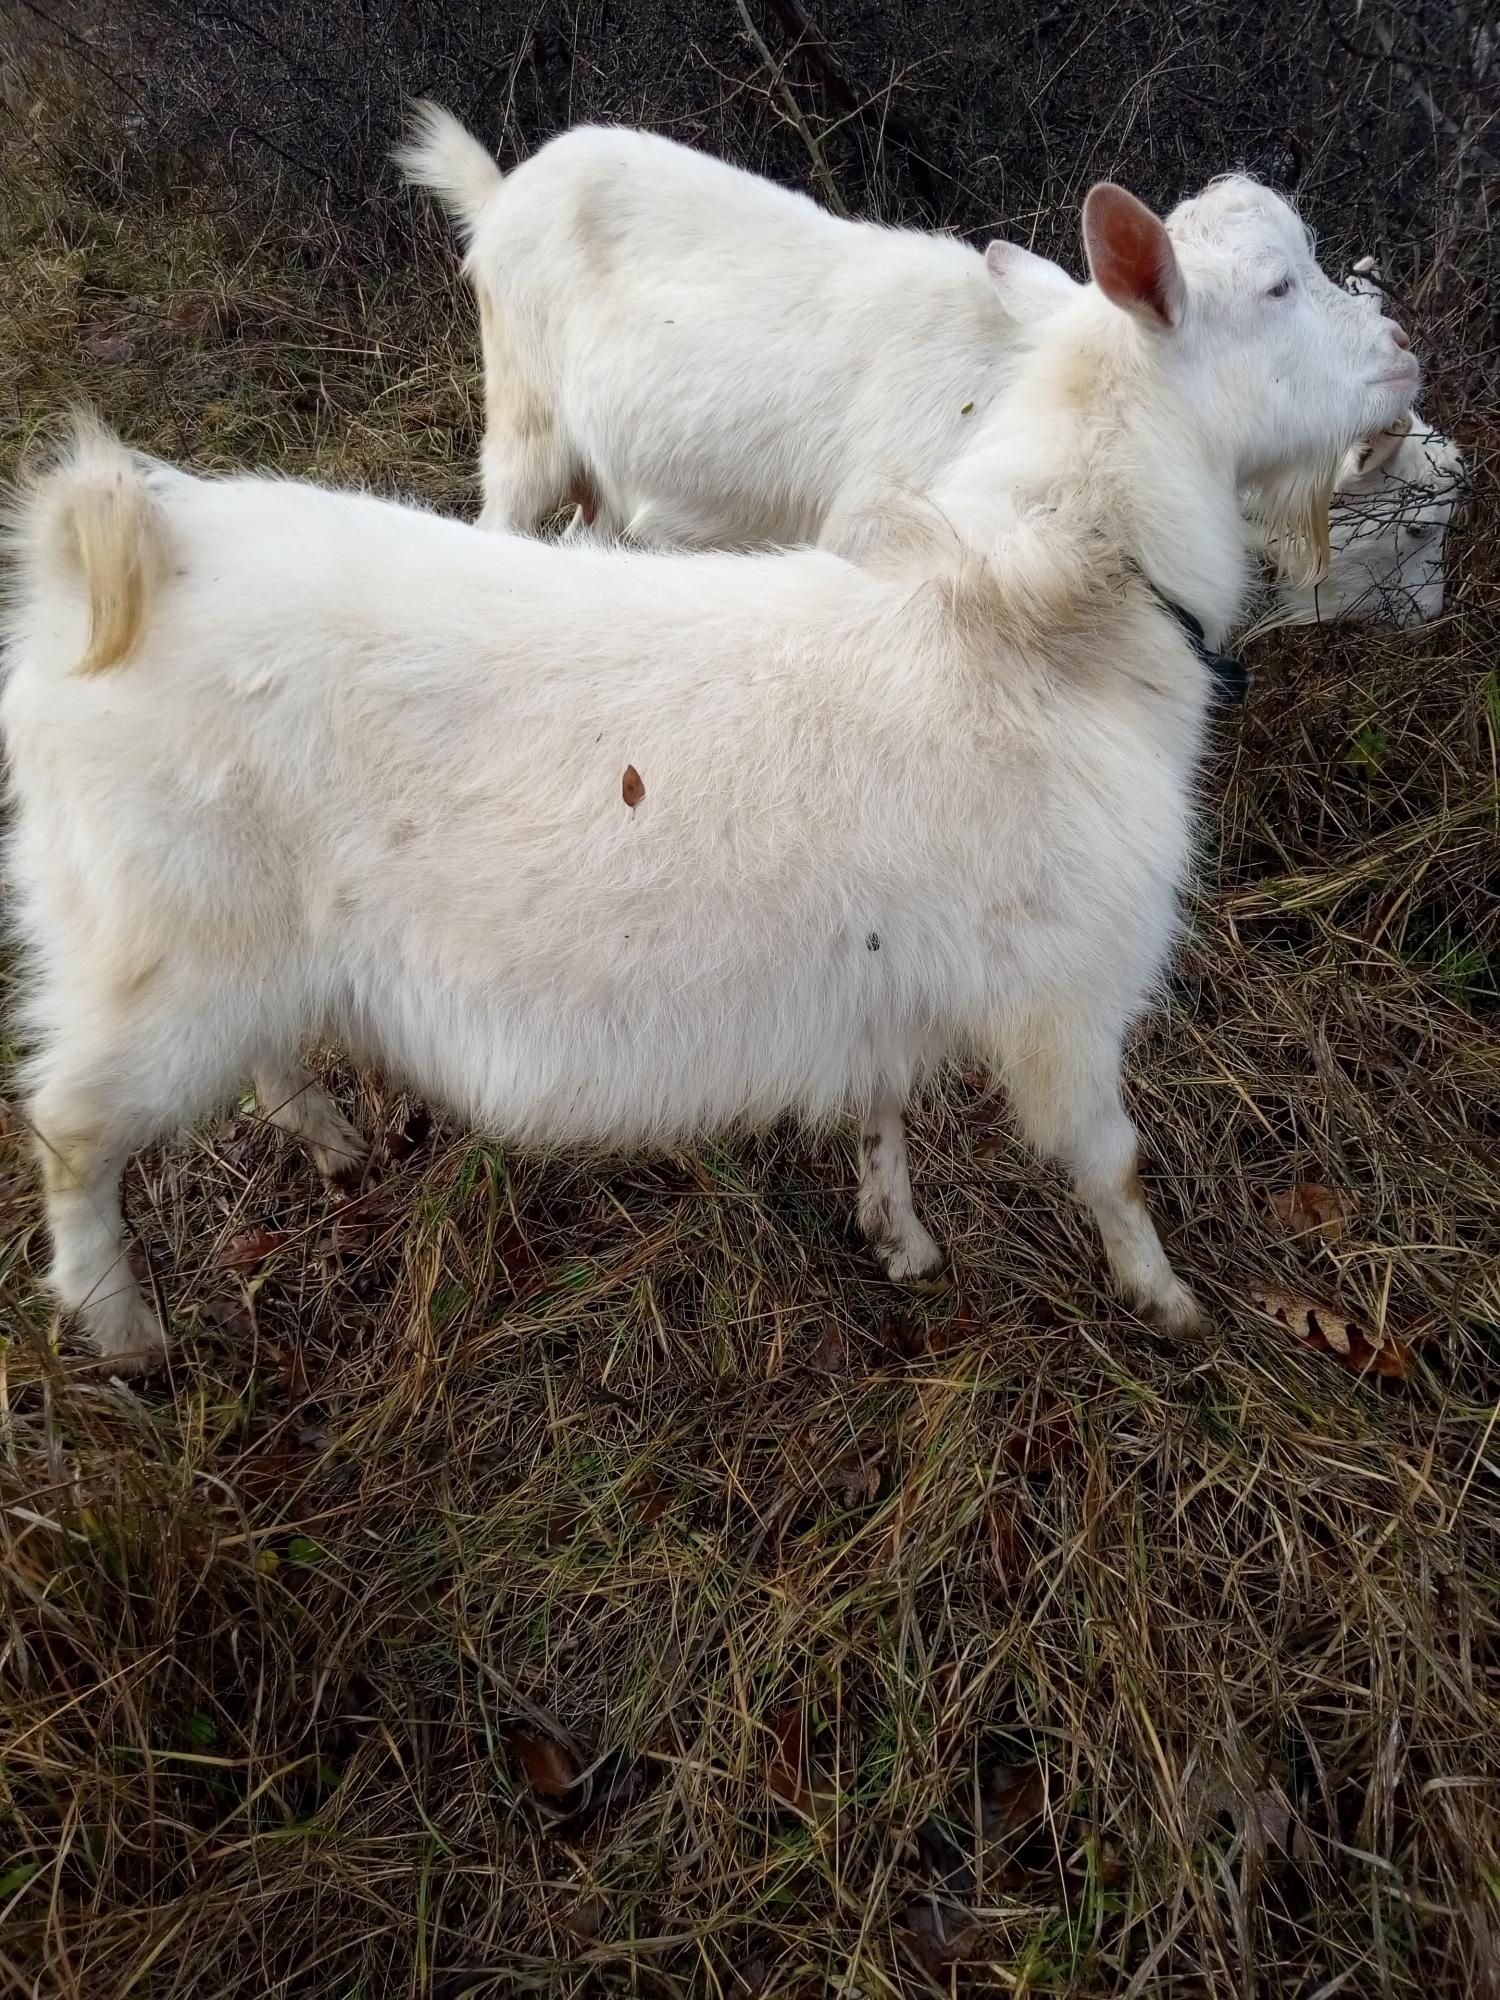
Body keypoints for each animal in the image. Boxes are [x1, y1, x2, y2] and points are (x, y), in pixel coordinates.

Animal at [2, 180, 1424, 1368]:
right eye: (1278, 288)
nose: (1407, 351)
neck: (1042, 615)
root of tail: (121, 563)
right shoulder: (1064, 990)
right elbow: (1110, 1163)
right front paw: (1169, 1300)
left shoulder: (883, 964)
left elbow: (883, 1095)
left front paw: (899, 1235)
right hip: (152, 948)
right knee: (69, 1127)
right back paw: (124, 1333)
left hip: (234, 948)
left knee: (257, 1055)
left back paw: (332, 1142)